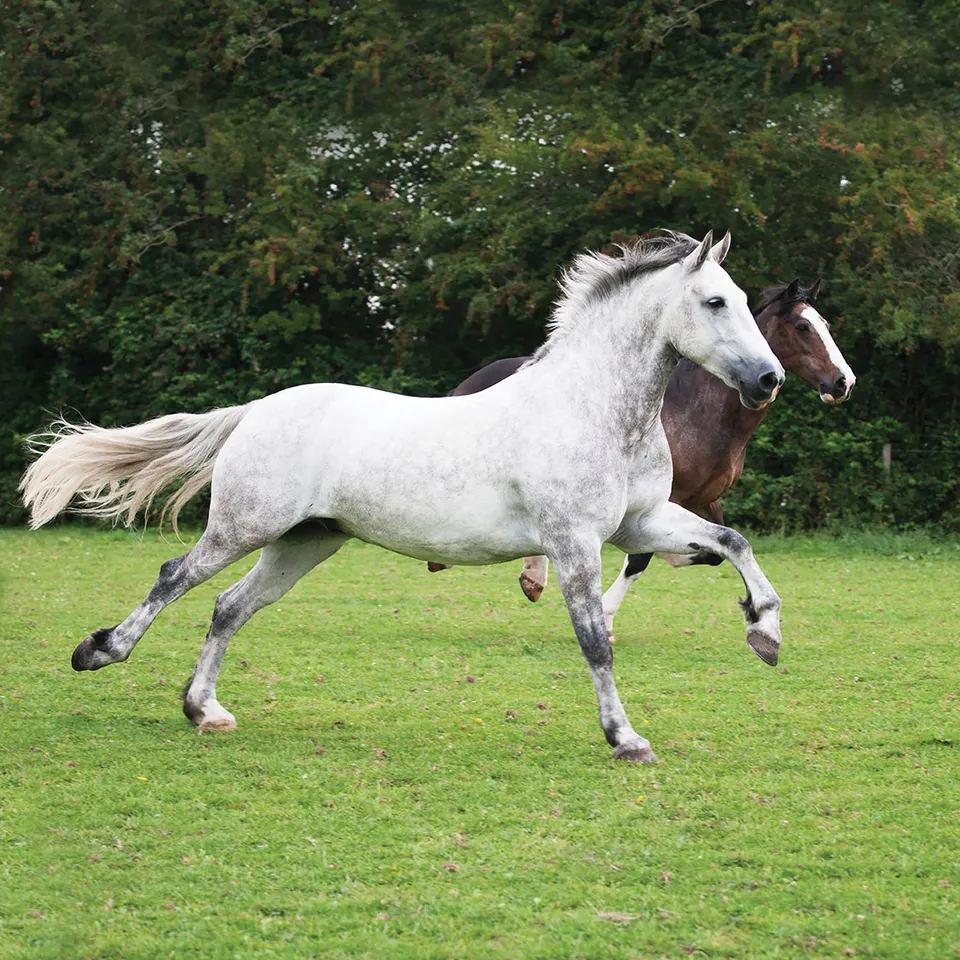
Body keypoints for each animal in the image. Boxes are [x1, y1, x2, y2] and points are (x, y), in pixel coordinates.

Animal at [21, 230, 785, 764]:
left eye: (749, 304)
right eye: (715, 302)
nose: (770, 379)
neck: (592, 409)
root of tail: (257, 409)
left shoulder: (641, 525)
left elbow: (732, 542)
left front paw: (765, 632)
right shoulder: (574, 542)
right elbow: (595, 640)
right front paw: (626, 739)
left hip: (306, 542)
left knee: (229, 606)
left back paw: (204, 710)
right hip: (245, 525)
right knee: (175, 576)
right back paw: (99, 652)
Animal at [433, 278, 856, 641]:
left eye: (825, 324)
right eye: (802, 327)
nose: (843, 382)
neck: (695, 412)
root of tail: (465, 386)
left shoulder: (704, 499)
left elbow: (711, 552)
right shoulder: (654, 501)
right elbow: (639, 561)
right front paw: (604, 617)